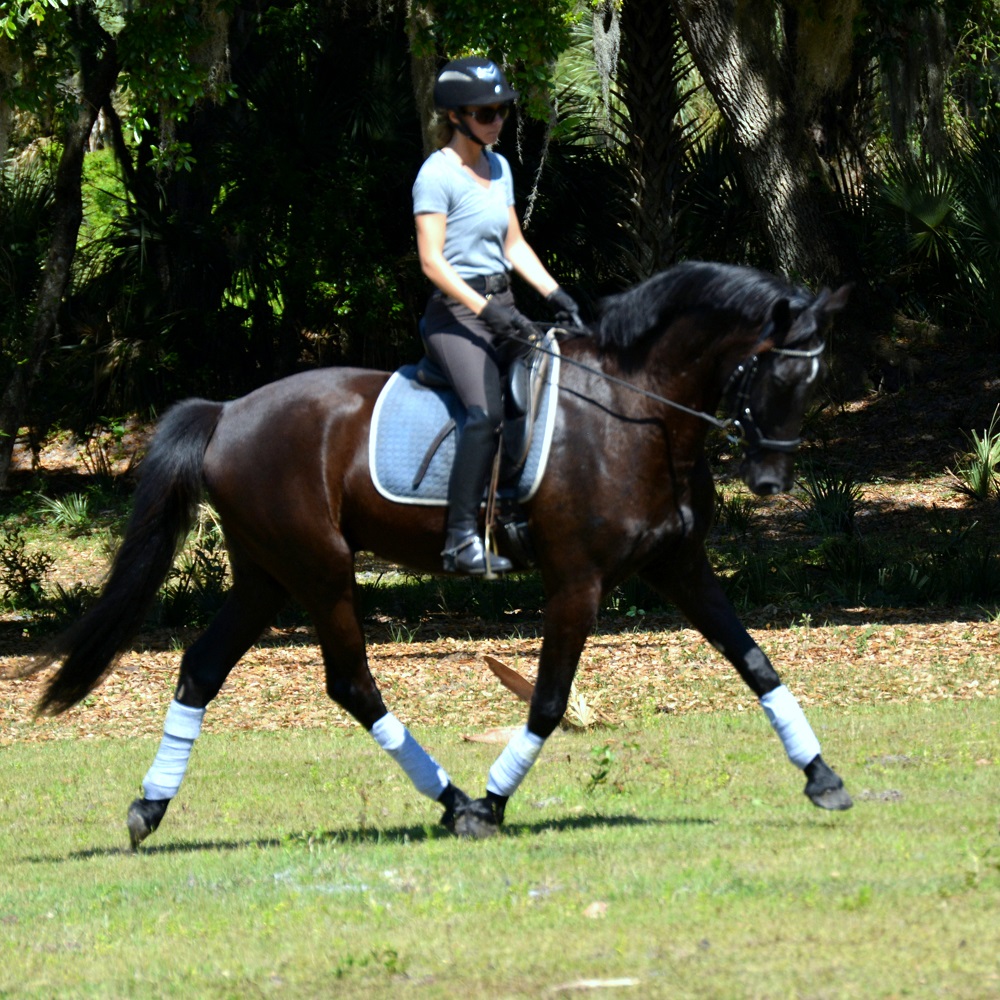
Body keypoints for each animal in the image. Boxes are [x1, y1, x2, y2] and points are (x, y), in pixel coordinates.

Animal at [21, 260, 852, 844]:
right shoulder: (577, 581)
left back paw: (149, 807)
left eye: (814, 380)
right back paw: (454, 803)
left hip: (266, 576)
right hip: (321, 571)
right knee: (351, 684)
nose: (771, 480)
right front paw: (493, 801)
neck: (636, 410)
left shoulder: (679, 565)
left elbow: (755, 661)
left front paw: (823, 777)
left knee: (202, 667)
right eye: (776, 371)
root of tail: (226, 413)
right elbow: (549, 699)